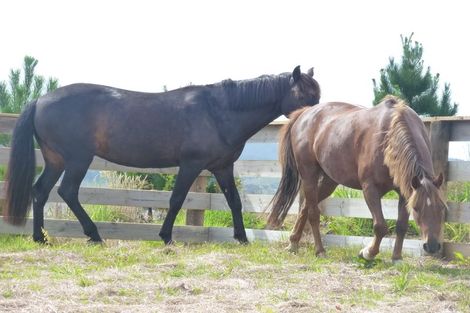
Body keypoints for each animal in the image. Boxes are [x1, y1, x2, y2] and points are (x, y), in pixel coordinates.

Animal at [3, 65, 322, 244]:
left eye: (317, 95)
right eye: (304, 95)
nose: (316, 117)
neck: (219, 111)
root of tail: (40, 99)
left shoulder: (222, 167)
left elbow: (234, 201)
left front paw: (242, 238)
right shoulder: (191, 165)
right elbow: (176, 199)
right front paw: (166, 236)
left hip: (56, 159)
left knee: (40, 191)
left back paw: (40, 238)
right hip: (77, 159)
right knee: (67, 191)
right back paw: (93, 234)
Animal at [270, 96, 446, 260]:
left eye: (442, 207)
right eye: (416, 208)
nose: (432, 246)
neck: (389, 136)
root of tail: (304, 113)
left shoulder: (405, 191)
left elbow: (401, 225)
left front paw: (396, 257)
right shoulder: (370, 189)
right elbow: (380, 226)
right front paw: (368, 252)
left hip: (329, 181)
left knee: (305, 207)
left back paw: (293, 242)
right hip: (309, 175)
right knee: (313, 213)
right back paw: (319, 250)